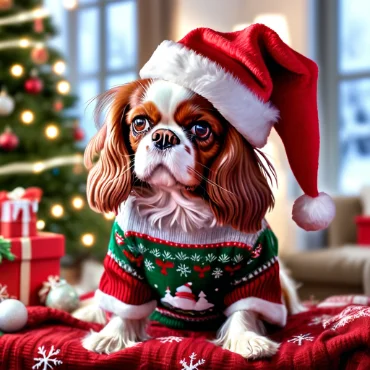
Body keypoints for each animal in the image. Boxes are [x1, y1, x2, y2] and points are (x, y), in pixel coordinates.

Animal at [81, 79, 304, 360]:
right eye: (140, 123)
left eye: (201, 128)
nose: (164, 137)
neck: (178, 209)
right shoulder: (124, 257)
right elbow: (125, 304)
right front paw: (112, 336)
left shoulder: (256, 262)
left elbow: (245, 308)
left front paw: (246, 339)